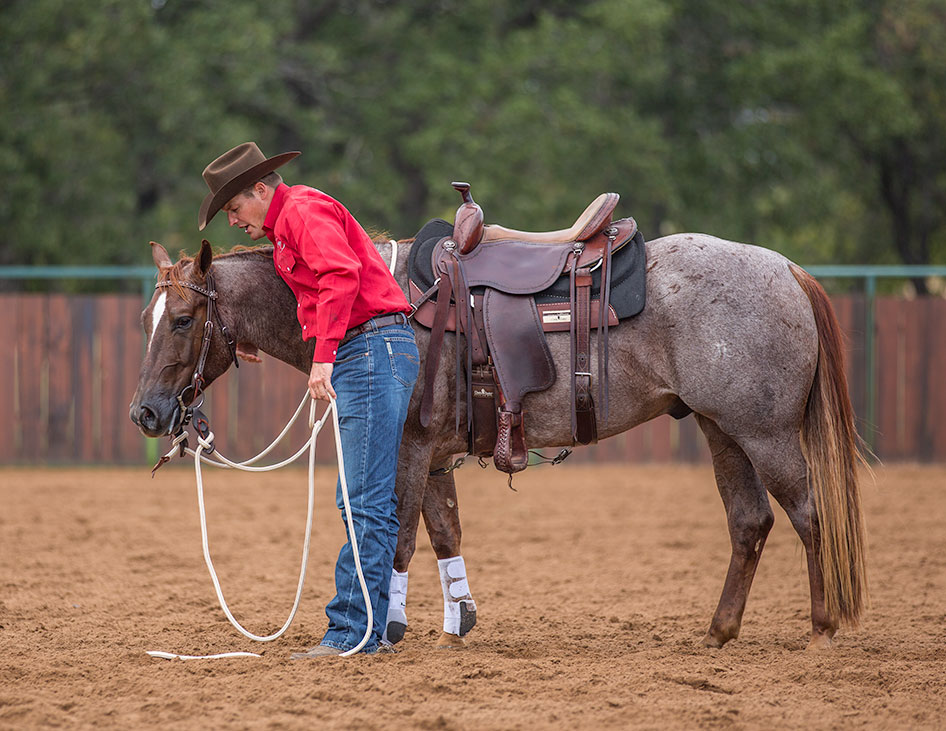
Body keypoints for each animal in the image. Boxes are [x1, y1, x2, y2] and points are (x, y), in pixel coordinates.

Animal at [131, 224, 864, 652]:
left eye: (184, 318)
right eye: (149, 318)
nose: (146, 413)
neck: (383, 310)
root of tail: (788, 269)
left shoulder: (407, 448)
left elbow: (399, 536)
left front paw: (388, 629)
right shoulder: (433, 456)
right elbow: (444, 531)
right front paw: (458, 620)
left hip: (764, 433)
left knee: (808, 514)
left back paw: (822, 627)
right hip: (722, 431)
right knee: (750, 523)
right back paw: (719, 632)